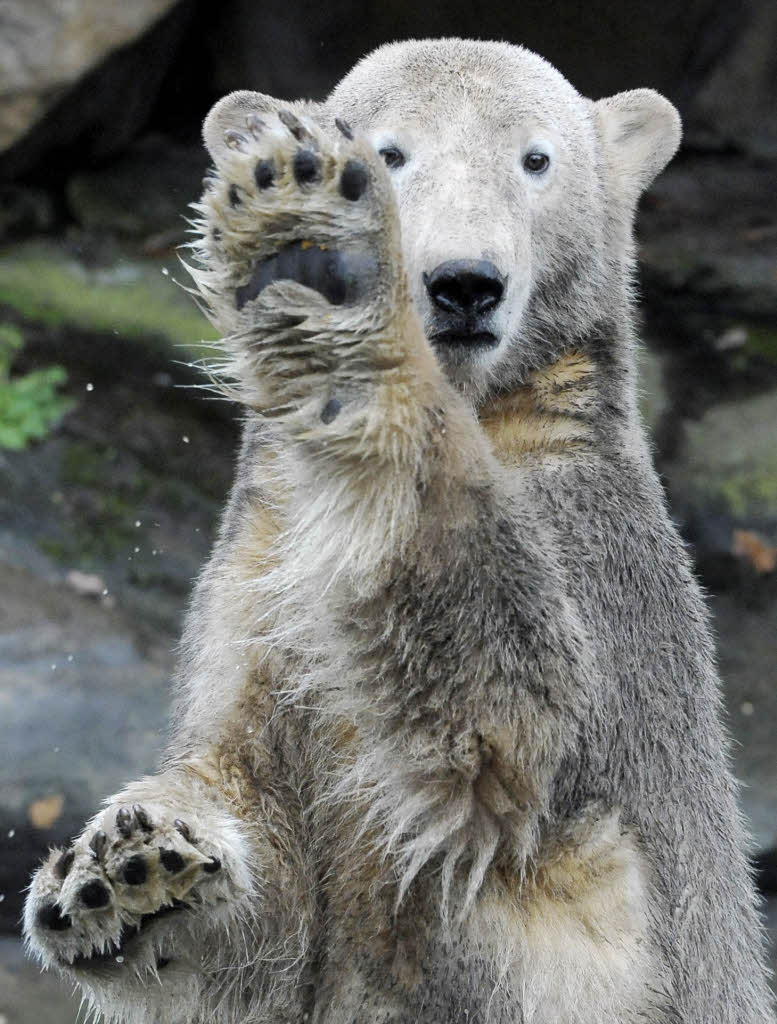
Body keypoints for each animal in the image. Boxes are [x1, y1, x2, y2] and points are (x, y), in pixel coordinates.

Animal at [22, 36, 773, 1019]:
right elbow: (264, 865)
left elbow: (507, 719)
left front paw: (320, 273)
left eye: (536, 159)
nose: (464, 285)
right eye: (391, 151)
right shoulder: (260, 562)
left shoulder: (589, 548)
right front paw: (122, 867)